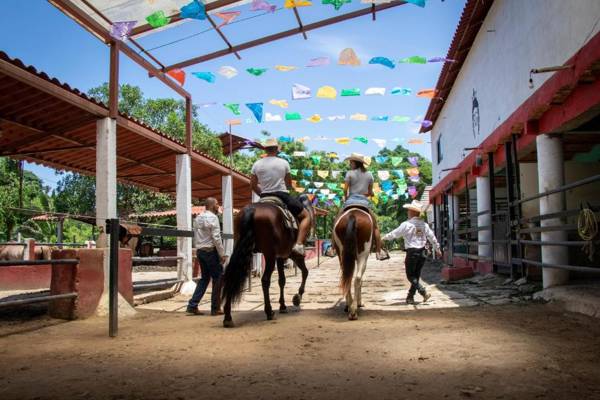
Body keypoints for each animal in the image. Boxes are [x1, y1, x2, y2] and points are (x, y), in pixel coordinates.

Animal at [220, 195, 314, 328]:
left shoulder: (279, 257)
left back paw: (228, 317)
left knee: (232, 276)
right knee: (265, 280)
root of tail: (252, 210)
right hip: (269, 255)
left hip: (241, 249)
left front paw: (283, 306)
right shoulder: (293, 256)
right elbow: (305, 273)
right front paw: (297, 297)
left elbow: (282, 280)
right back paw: (269, 312)